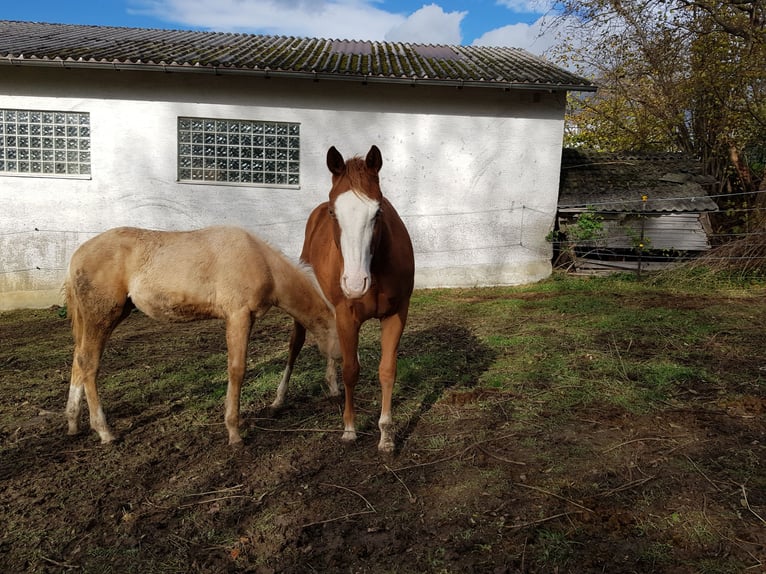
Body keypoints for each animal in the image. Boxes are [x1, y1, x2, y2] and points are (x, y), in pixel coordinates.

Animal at [64, 225, 340, 446]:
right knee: (89, 364)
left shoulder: (244, 318)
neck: (262, 262)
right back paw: (104, 431)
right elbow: (237, 370)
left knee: (78, 361)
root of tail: (77, 254)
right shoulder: (238, 316)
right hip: (101, 317)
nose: (338, 390)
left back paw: (73, 423)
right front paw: (234, 433)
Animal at [274, 145, 416, 454]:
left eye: (378, 211)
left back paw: (331, 385)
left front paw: (386, 435)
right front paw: (350, 429)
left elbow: (387, 370)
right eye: (333, 212)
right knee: (295, 344)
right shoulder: (347, 316)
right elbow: (351, 370)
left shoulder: (396, 315)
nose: (354, 283)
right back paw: (279, 397)